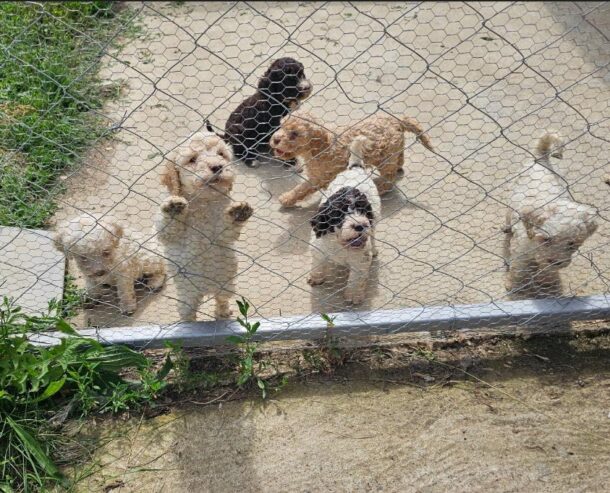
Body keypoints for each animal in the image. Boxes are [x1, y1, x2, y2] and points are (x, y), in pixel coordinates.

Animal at [157, 129, 254, 320]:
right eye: (192, 159)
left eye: (221, 154)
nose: (217, 167)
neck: (204, 201)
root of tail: (207, 290)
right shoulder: (169, 235)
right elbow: (168, 229)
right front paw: (173, 209)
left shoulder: (221, 233)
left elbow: (227, 229)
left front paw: (238, 212)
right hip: (187, 299)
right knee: (189, 314)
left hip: (226, 286)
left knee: (221, 300)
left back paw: (223, 313)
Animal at [268, 109, 432, 206]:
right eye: (281, 126)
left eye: (294, 134)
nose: (275, 139)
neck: (320, 148)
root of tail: (396, 120)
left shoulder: (320, 177)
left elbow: (303, 188)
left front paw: (287, 198)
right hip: (393, 150)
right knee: (399, 158)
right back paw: (399, 166)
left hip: (386, 158)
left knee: (388, 179)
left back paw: (379, 186)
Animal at [308, 135, 380, 304]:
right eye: (339, 215)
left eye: (363, 211)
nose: (360, 225)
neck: (340, 244)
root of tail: (355, 168)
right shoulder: (318, 247)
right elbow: (317, 263)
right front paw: (316, 277)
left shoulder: (360, 259)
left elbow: (356, 278)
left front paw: (353, 295)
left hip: (375, 219)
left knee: (373, 235)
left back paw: (374, 250)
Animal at [502, 132, 596, 300]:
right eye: (546, 240)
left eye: (571, 244)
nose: (555, 262)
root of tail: (541, 159)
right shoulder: (521, 253)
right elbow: (518, 270)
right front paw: (511, 284)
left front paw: (547, 283)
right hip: (511, 197)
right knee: (508, 216)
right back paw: (506, 227)